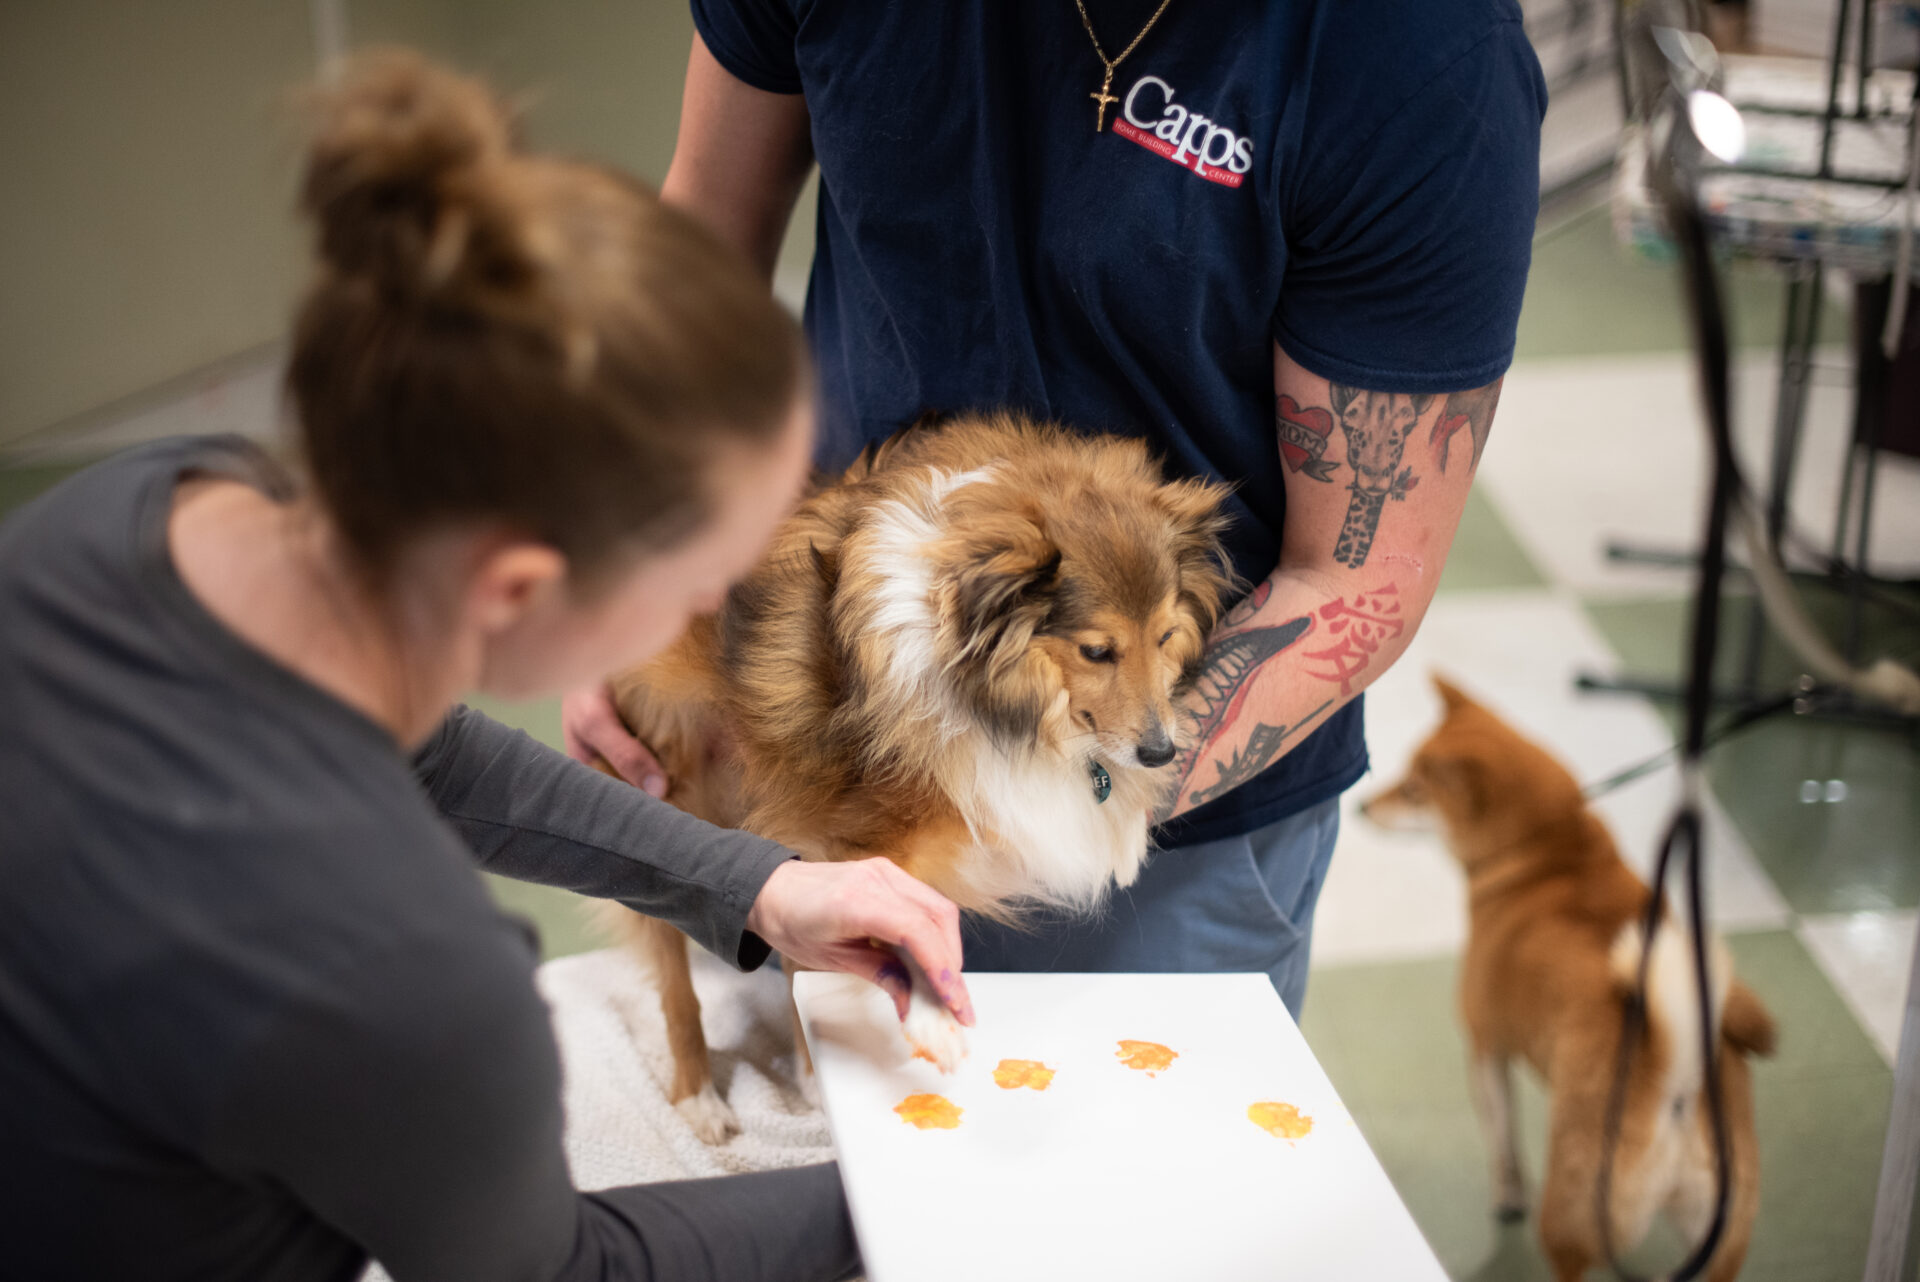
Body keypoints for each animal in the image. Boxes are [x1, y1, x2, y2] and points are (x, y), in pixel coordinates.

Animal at [594, 412, 1232, 1141]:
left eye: (1165, 636)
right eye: (1097, 650)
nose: (1159, 752)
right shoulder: (850, 843)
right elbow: (889, 933)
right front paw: (932, 1020)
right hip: (661, 784)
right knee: (675, 973)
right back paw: (702, 1095)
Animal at [1361, 676, 1775, 1282]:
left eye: (1415, 790)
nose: (1361, 806)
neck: (1550, 855)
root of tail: (1676, 1089)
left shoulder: (1485, 1048)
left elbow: (1503, 1142)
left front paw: (1507, 1196)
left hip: (1573, 1212)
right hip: (1717, 1237)